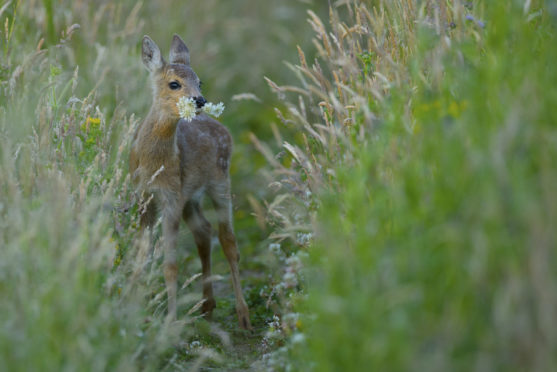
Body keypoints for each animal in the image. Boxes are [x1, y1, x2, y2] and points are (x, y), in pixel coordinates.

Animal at [129, 35, 251, 330]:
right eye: (174, 83)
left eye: (200, 81)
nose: (200, 100)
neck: (154, 164)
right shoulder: (143, 197)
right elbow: (141, 256)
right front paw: (132, 305)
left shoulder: (171, 197)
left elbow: (170, 265)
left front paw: (170, 322)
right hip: (191, 196)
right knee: (203, 230)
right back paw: (207, 305)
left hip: (220, 180)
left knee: (228, 241)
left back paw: (243, 314)